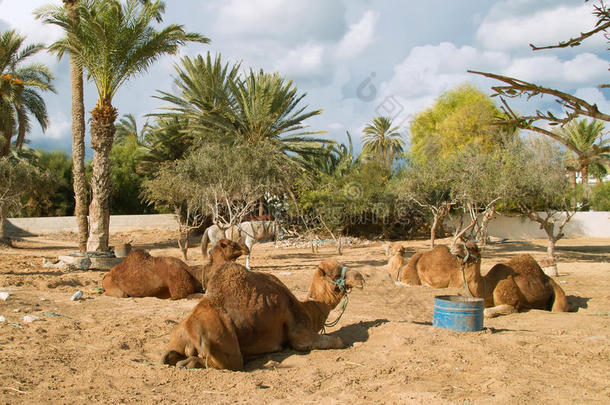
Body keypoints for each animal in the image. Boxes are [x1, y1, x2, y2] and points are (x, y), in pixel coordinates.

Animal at [102, 238, 247, 298]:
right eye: (231, 244)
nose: (245, 247)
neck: (195, 275)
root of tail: (105, 276)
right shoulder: (179, 293)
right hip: (114, 287)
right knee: (121, 294)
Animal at [159, 258, 364, 370]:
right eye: (336, 273)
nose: (361, 278)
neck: (308, 309)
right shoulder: (299, 333)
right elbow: (337, 340)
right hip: (224, 346)